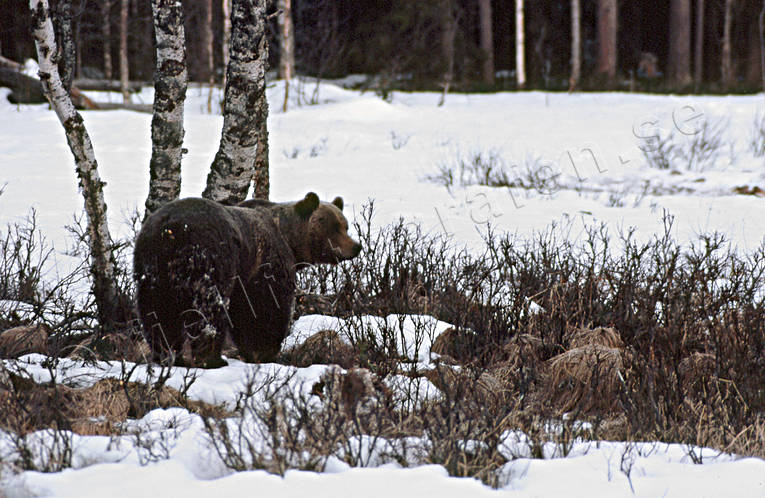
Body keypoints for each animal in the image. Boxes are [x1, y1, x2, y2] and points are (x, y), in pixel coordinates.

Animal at [134, 193, 362, 368]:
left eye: (345, 225)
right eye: (334, 226)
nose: (356, 246)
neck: (290, 240)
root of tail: (169, 230)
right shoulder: (264, 265)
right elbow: (265, 309)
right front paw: (264, 351)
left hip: (152, 270)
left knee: (157, 313)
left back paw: (168, 355)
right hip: (208, 258)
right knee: (208, 311)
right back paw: (212, 359)